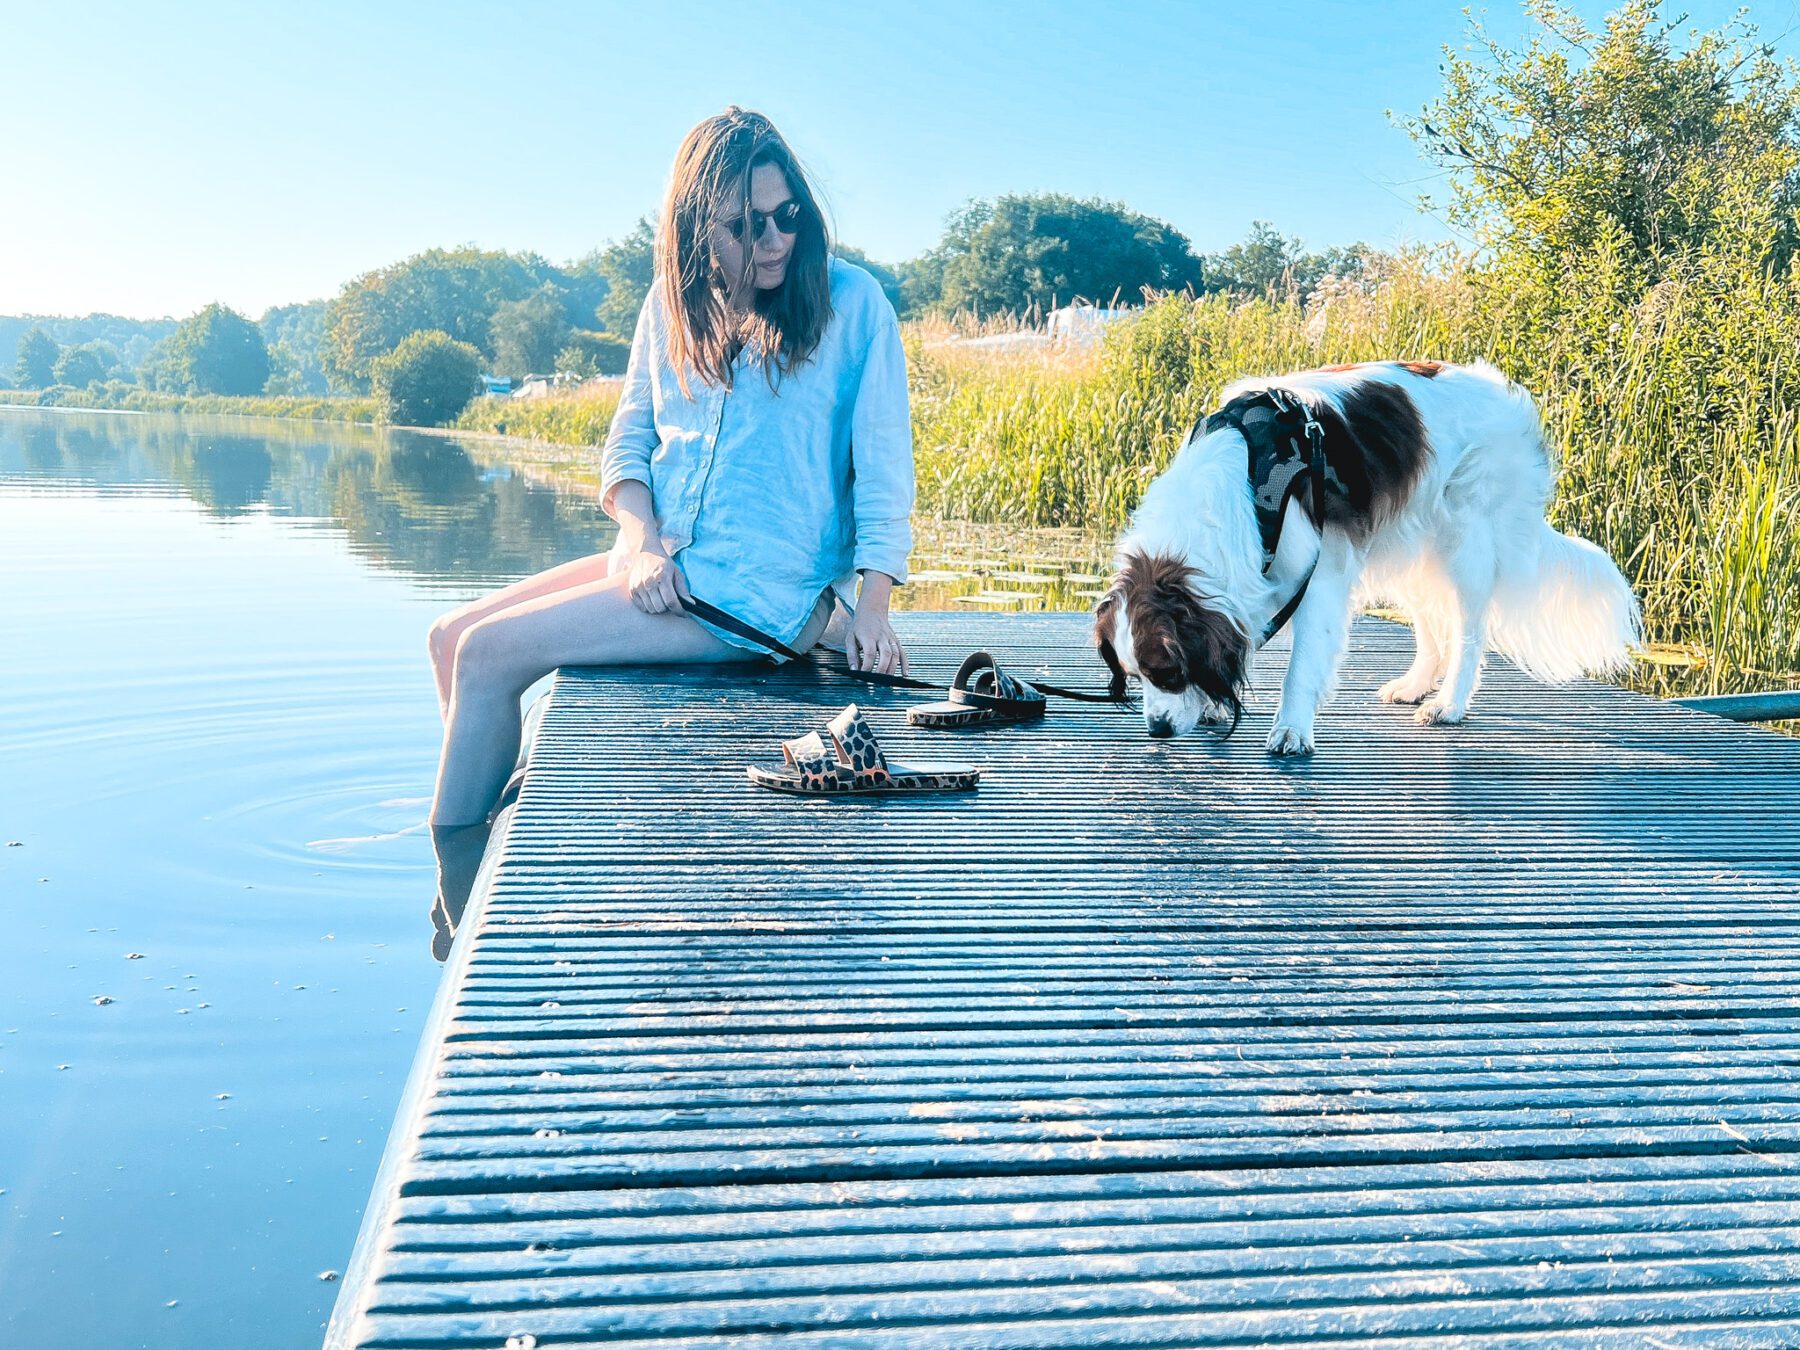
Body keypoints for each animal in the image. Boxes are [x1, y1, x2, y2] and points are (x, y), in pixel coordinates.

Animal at [1094, 360, 1648, 756]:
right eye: (1135, 677)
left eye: (1167, 672)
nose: (1157, 729)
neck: (1247, 475)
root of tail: (1508, 396)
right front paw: (1215, 703)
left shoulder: (1320, 574)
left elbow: (1301, 665)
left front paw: (1291, 729)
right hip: (1411, 546)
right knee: (1430, 624)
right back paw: (1415, 686)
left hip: (1466, 543)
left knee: (1469, 631)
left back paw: (1449, 703)